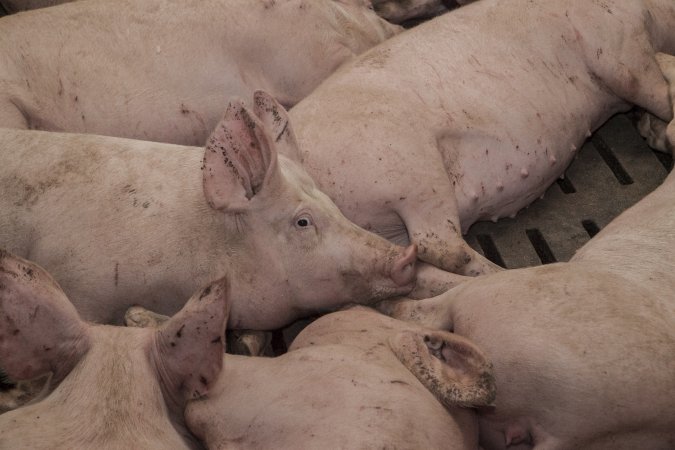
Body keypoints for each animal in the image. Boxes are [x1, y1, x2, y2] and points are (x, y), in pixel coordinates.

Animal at [288, 0, 675, 288]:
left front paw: (650, 129)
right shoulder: (619, 48)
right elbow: (652, 88)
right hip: (410, 172)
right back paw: (511, 276)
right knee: (440, 245)